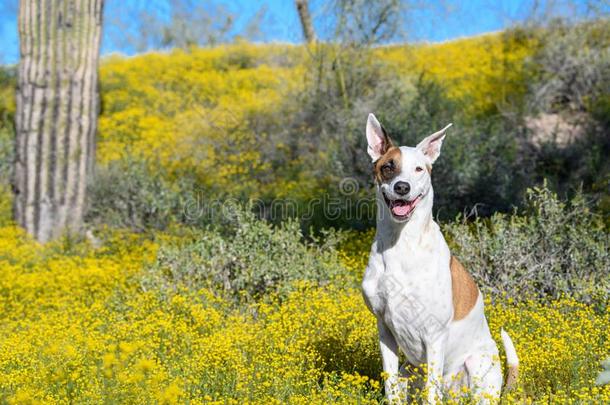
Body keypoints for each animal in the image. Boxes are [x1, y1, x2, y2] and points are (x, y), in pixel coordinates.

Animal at [360, 113, 516, 400]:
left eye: (419, 169)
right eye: (388, 166)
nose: (402, 187)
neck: (402, 244)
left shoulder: (434, 335)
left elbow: (431, 394)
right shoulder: (384, 331)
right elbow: (390, 387)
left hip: (477, 366)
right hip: (409, 370)